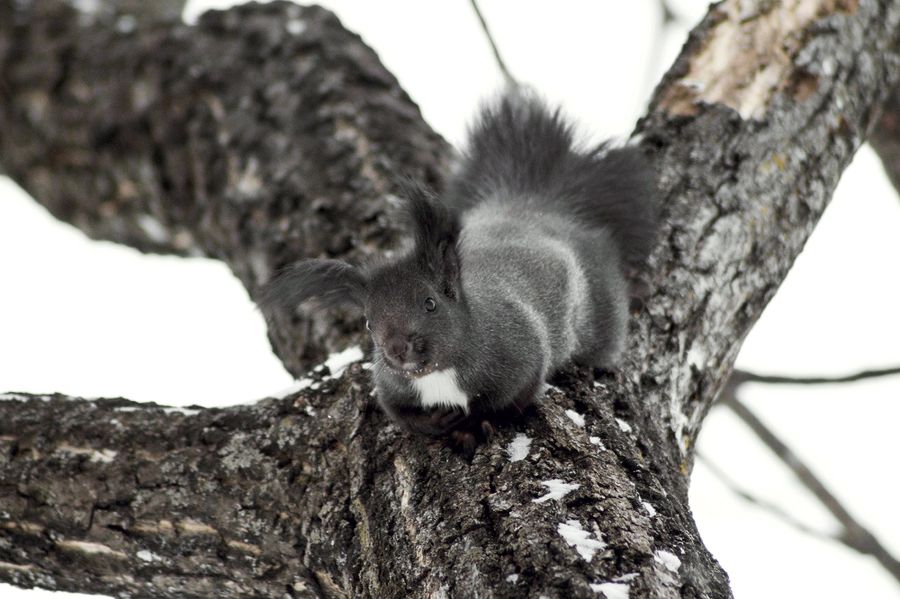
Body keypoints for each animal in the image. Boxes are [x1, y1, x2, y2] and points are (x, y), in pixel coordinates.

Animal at [260, 91, 659, 444]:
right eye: (368, 322)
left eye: (430, 303)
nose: (397, 349)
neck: (437, 373)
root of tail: (538, 206)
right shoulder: (388, 387)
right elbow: (399, 414)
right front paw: (434, 423)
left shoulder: (524, 354)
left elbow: (510, 402)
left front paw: (473, 426)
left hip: (600, 312)